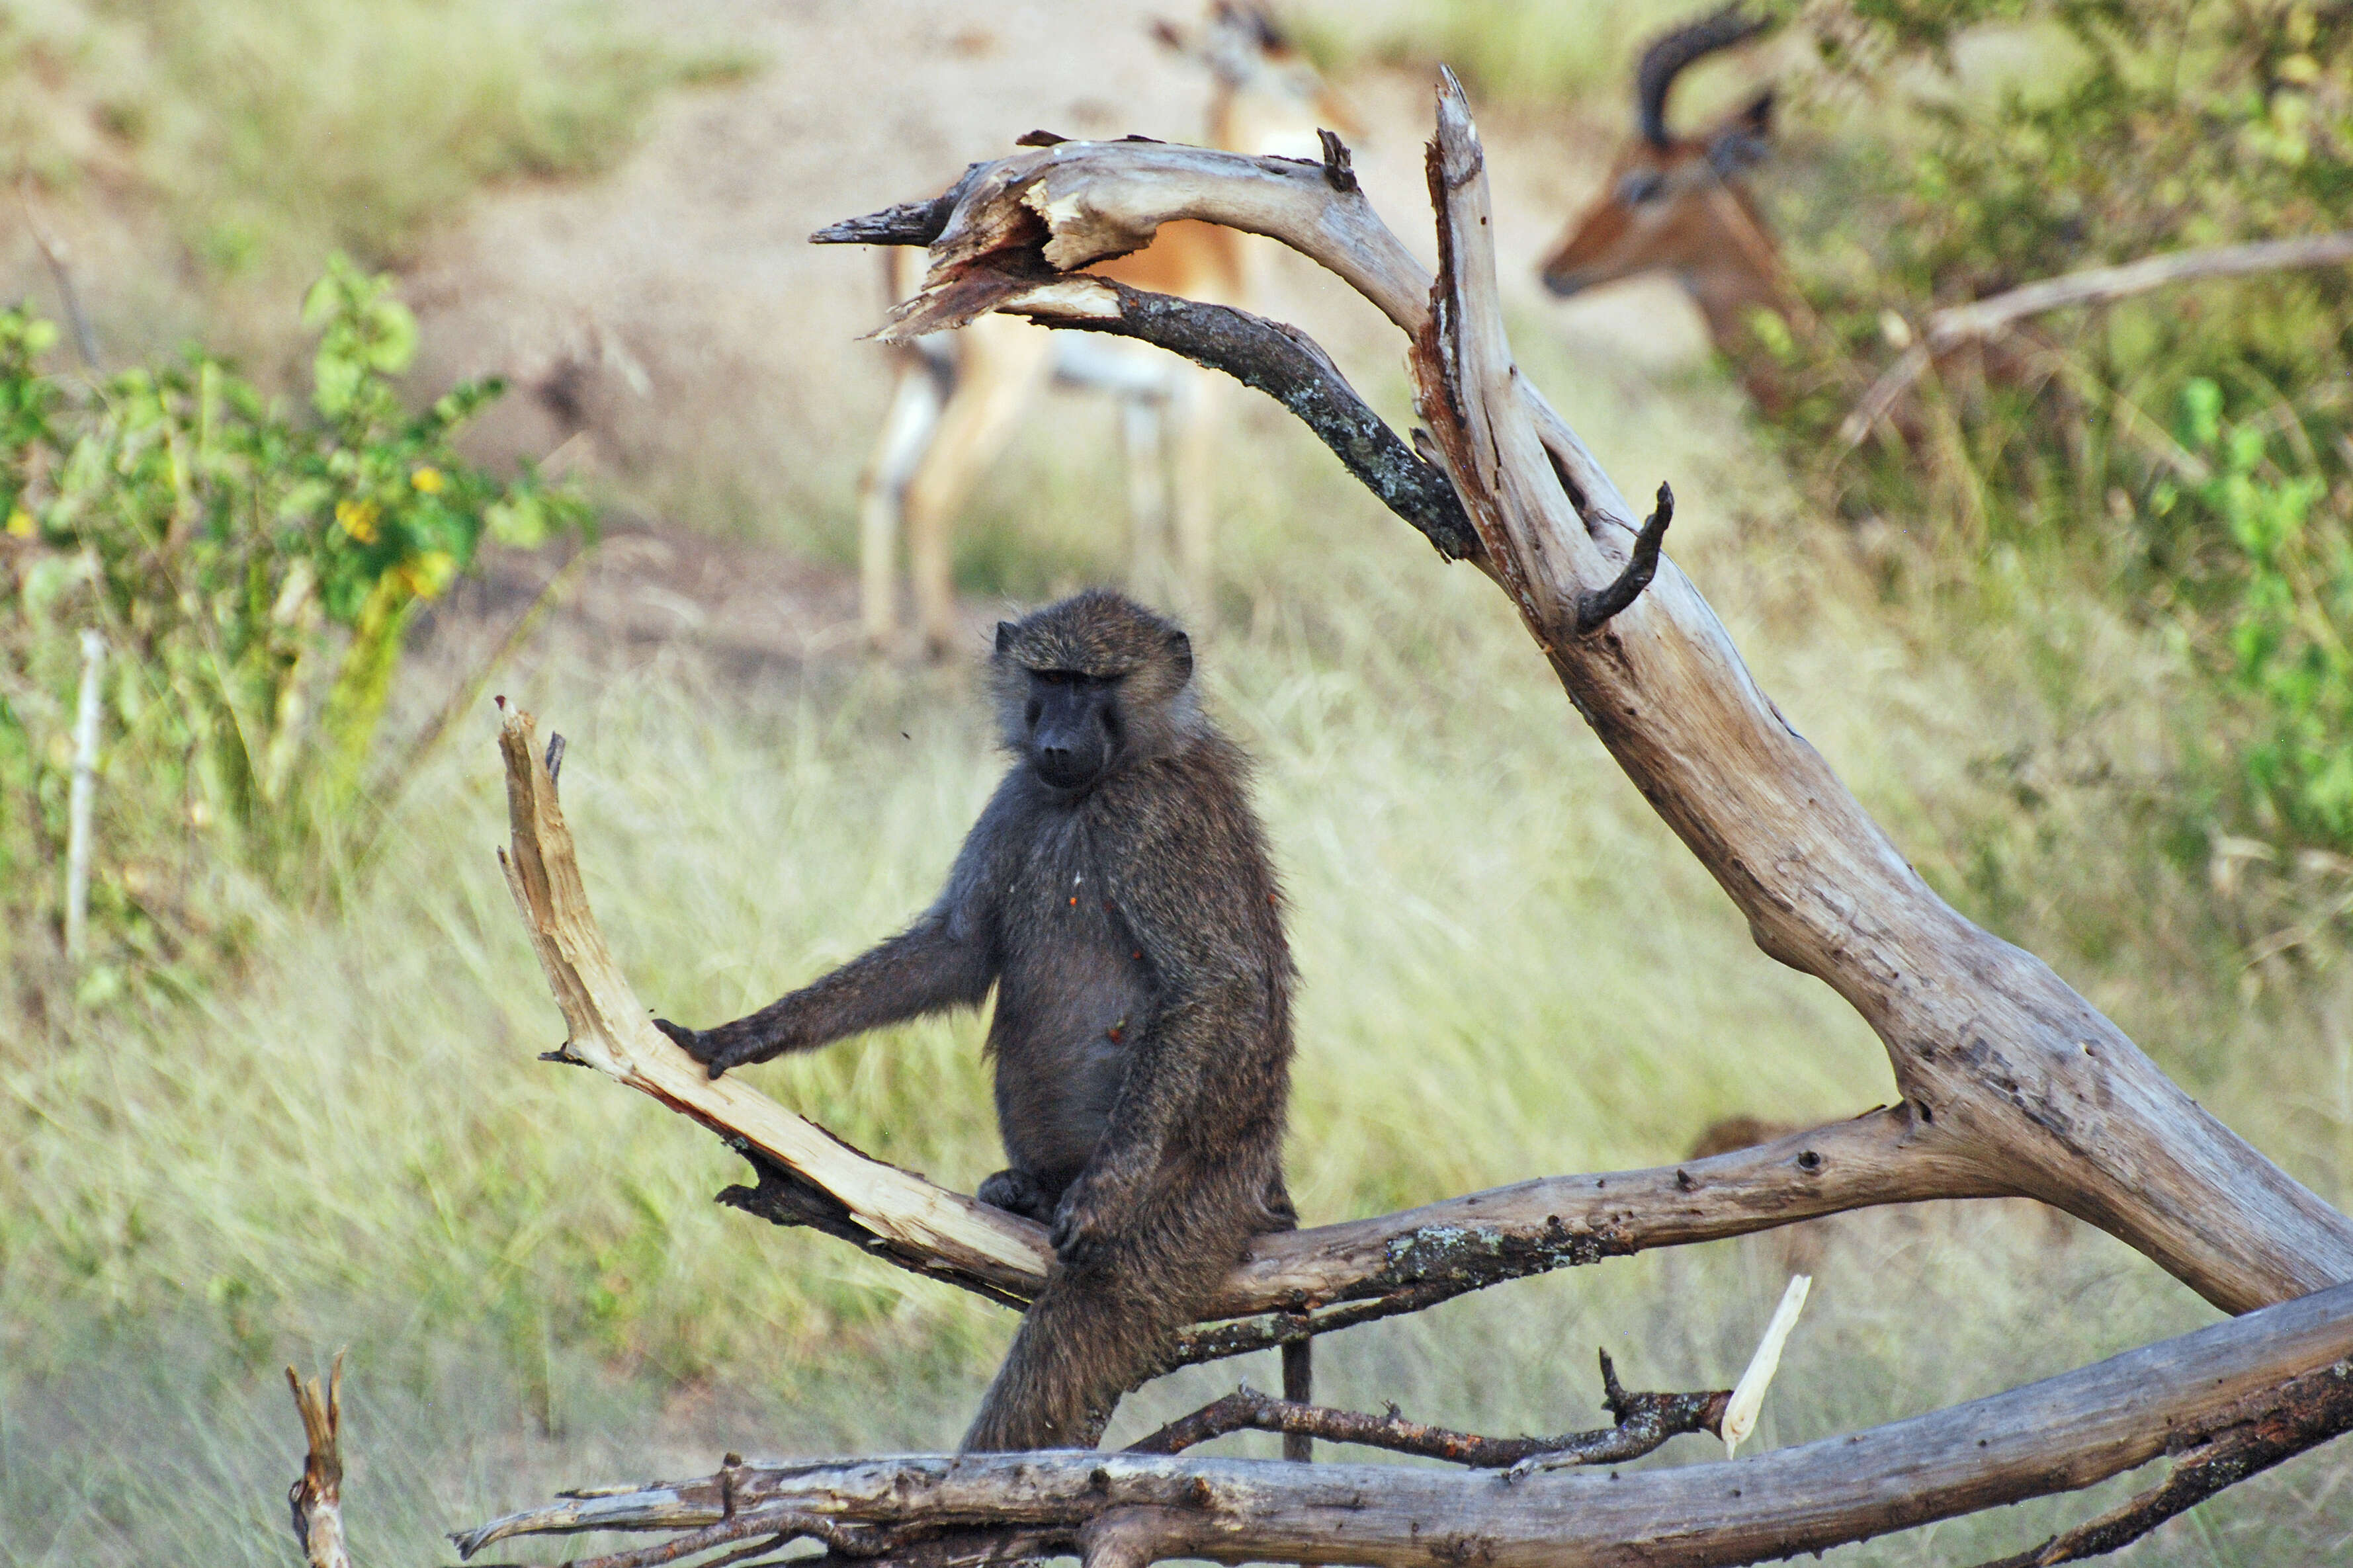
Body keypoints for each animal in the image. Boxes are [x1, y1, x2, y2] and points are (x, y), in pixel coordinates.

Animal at [861, 1, 1365, 658]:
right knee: (927, 489)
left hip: (924, 376)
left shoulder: (1137, 401)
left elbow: (1143, 508)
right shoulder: (1197, 396)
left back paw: (879, 637)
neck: (1223, 250)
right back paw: (940, 642)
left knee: (878, 479)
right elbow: (1190, 507)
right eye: (1299, 78)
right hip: (993, 389)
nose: (1357, 127)